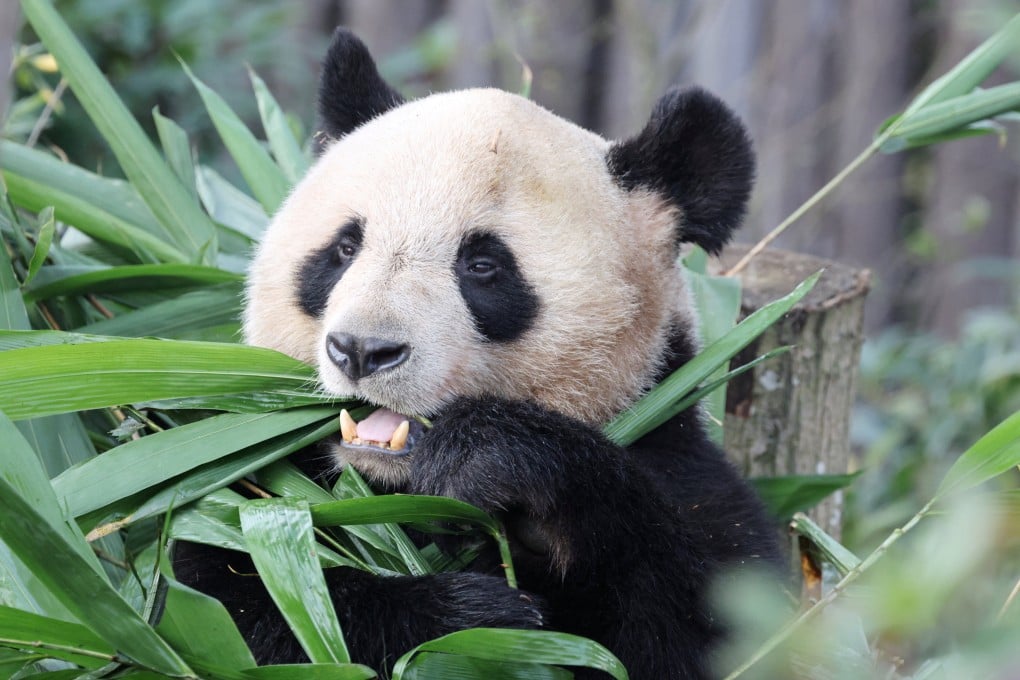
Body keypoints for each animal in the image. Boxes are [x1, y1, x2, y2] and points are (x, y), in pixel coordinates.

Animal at [174, 27, 783, 680]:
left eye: (483, 265)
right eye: (344, 248)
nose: (362, 350)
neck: (395, 485)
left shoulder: (676, 449)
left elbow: (718, 622)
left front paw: (489, 456)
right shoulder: (244, 475)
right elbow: (230, 598)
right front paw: (471, 621)